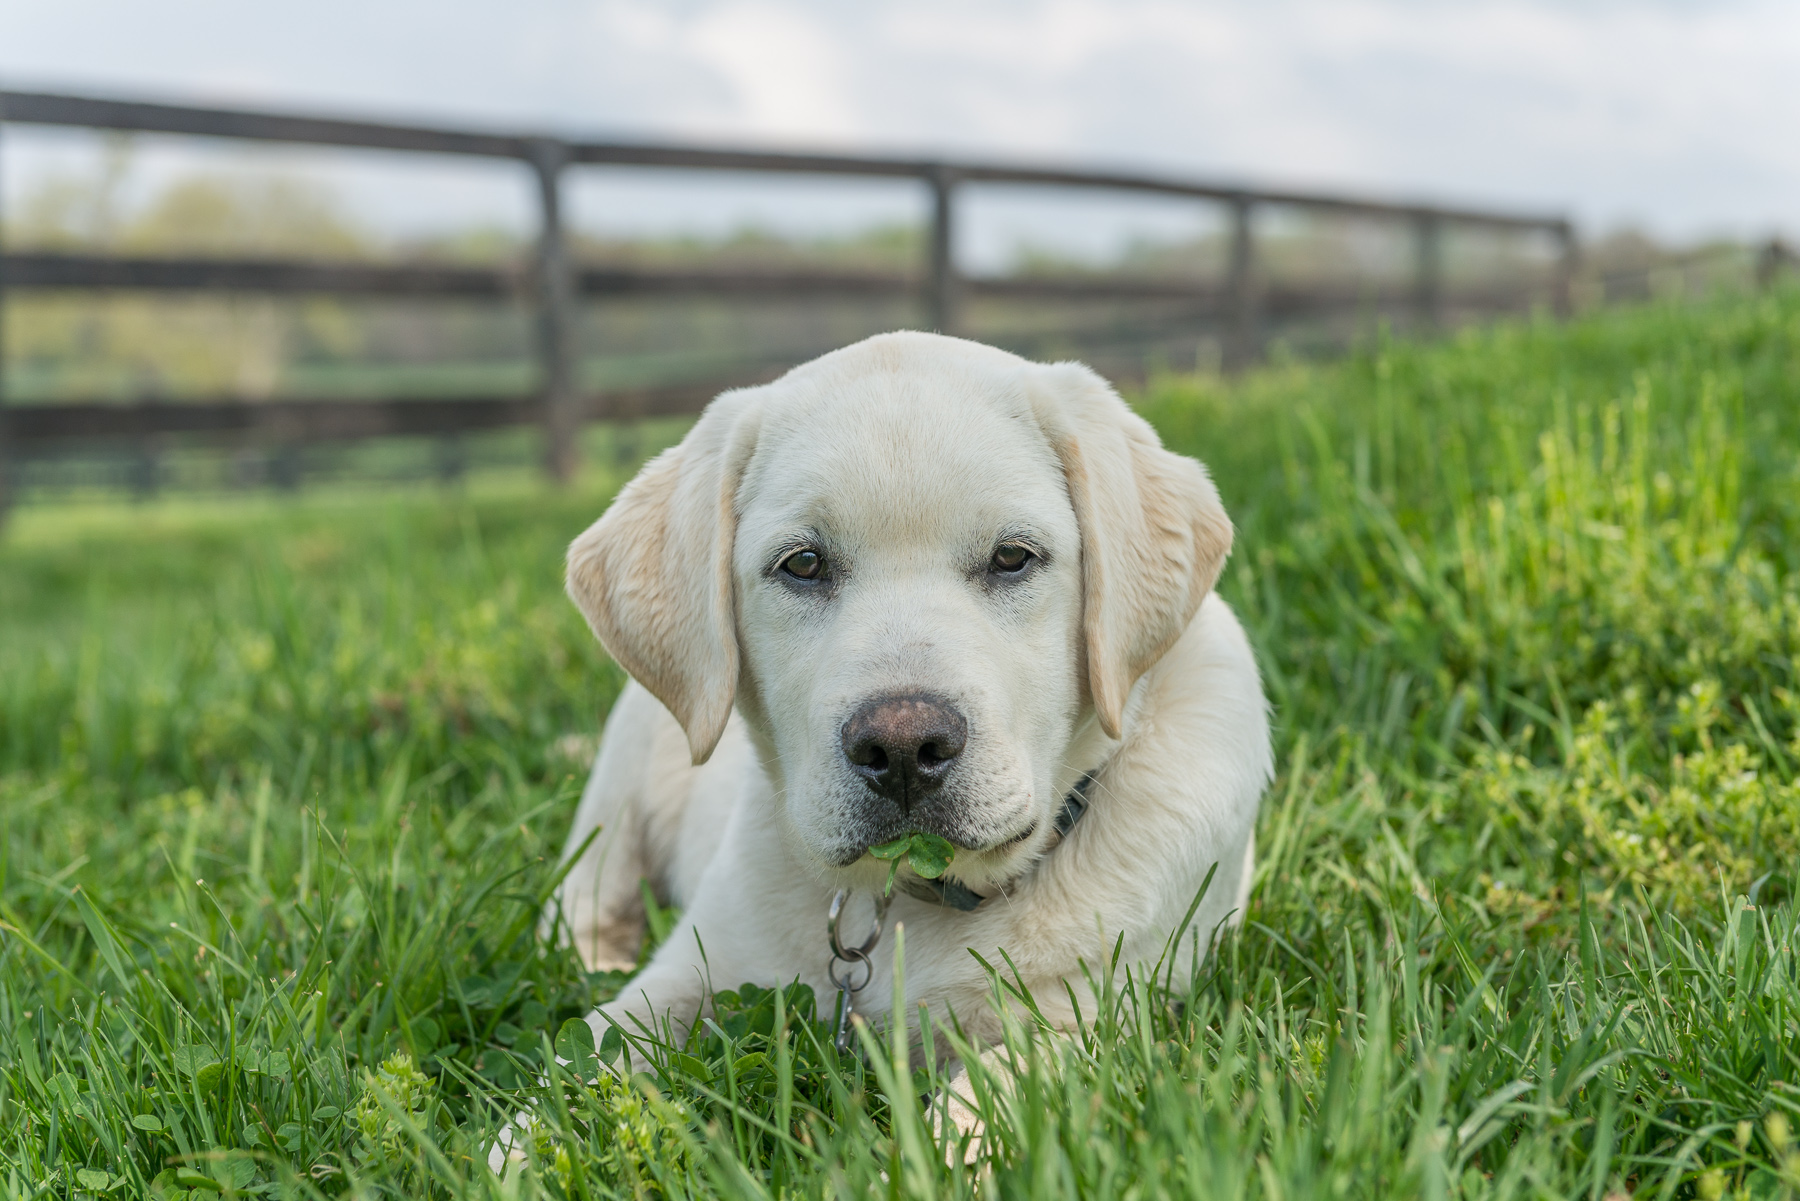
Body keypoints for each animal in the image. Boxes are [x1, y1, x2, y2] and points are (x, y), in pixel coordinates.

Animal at [547, 331, 1267, 1109]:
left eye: (1012, 557)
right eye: (803, 564)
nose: (900, 747)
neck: (911, 899)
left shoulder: (1096, 1020)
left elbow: (989, 1103)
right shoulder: (693, 968)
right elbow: (578, 1063)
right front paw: (518, 1134)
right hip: (614, 801)